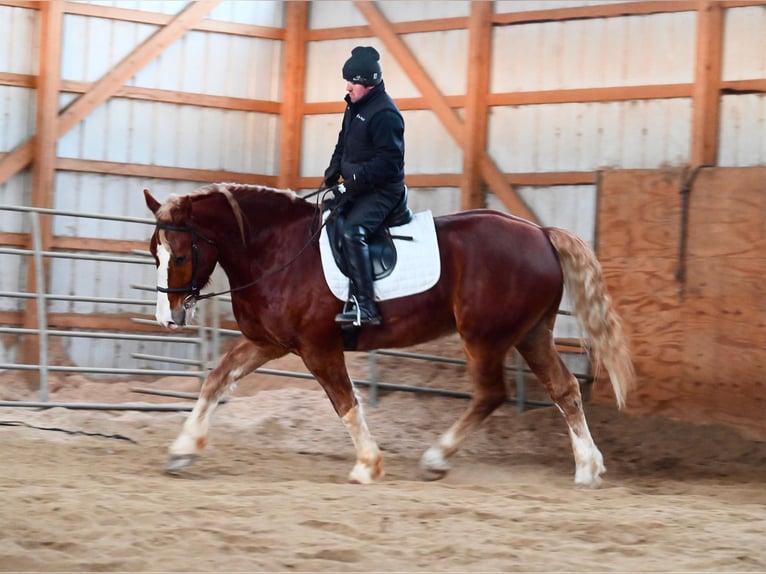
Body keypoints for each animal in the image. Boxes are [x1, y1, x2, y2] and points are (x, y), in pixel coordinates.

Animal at [144, 183, 636, 486]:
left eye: (181, 255)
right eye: (155, 253)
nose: (168, 318)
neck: (276, 250)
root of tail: (540, 232)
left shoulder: (317, 348)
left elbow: (345, 402)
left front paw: (368, 465)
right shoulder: (269, 343)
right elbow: (215, 380)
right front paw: (182, 451)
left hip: (484, 337)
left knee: (490, 393)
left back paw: (436, 459)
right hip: (530, 334)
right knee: (564, 388)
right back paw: (588, 468)